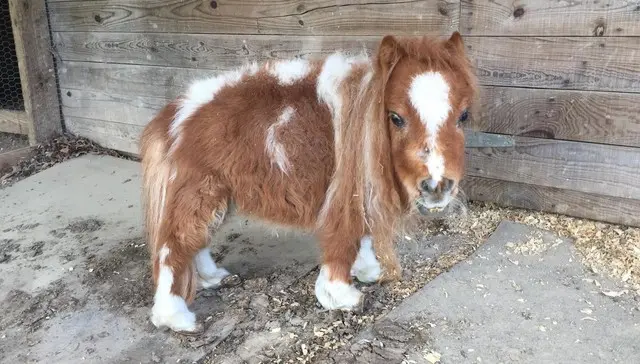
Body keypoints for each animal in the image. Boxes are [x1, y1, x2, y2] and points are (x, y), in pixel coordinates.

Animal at [141, 32, 480, 334]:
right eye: (395, 117)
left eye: (464, 116)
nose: (437, 187)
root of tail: (174, 115)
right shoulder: (345, 191)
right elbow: (344, 238)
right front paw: (342, 296)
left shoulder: (361, 190)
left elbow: (362, 234)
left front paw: (367, 271)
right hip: (199, 191)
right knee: (174, 247)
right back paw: (177, 319)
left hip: (219, 195)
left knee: (198, 240)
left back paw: (214, 278)